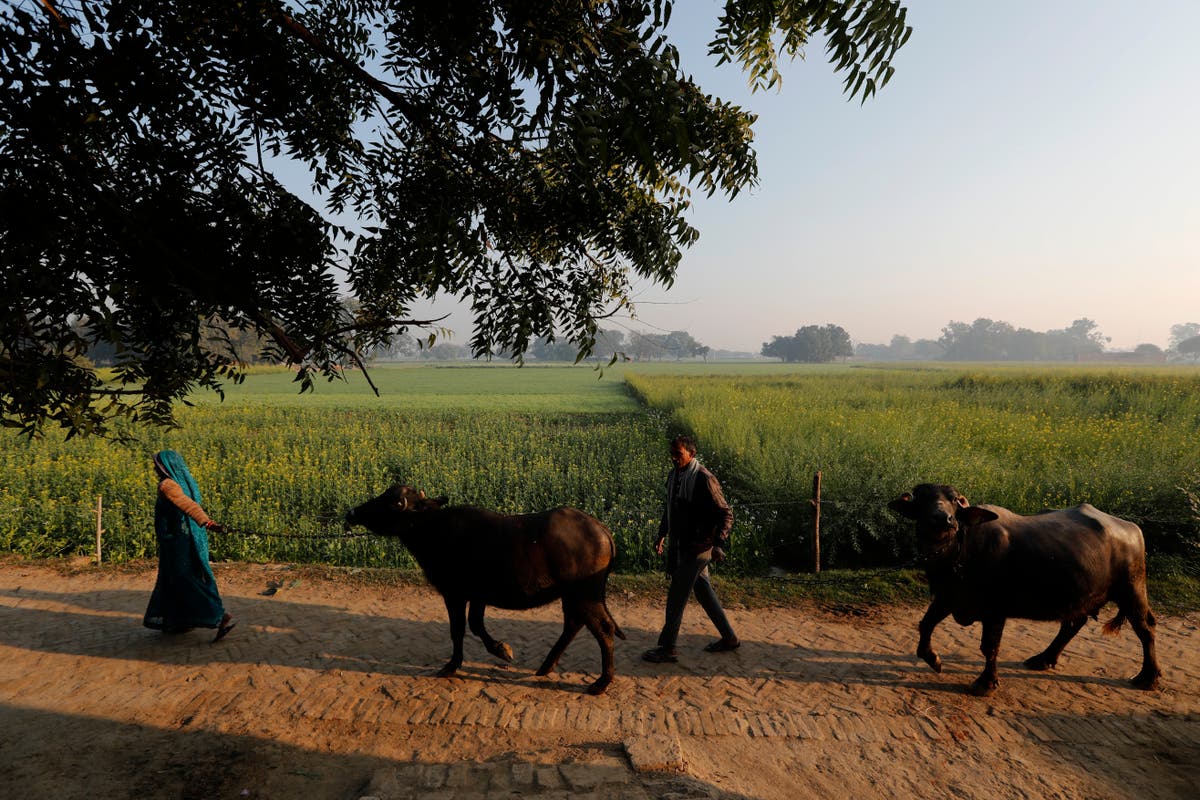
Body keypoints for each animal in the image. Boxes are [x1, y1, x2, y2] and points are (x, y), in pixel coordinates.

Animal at [345, 482, 628, 695]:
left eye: (391, 502)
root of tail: (601, 529)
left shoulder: (454, 593)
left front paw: (451, 666)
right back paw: (546, 666)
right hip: (572, 596)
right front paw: (502, 650)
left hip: (585, 595)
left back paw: (601, 683)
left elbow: (458, 629)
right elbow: (476, 625)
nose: (352, 512)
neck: (433, 529)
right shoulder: (477, 595)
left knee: (602, 629)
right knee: (573, 624)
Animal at [888, 484, 1156, 695]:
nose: (943, 519)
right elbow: (925, 625)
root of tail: (1133, 529)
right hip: (1081, 596)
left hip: (1132, 590)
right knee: (1073, 624)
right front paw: (934, 659)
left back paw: (1147, 678)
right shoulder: (948, 596)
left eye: (954, 501)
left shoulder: (995, 609)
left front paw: (986, 683)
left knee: (1146, 630)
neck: (959, 552)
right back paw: (1044, 658)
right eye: (922, 499)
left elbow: (990, 646)